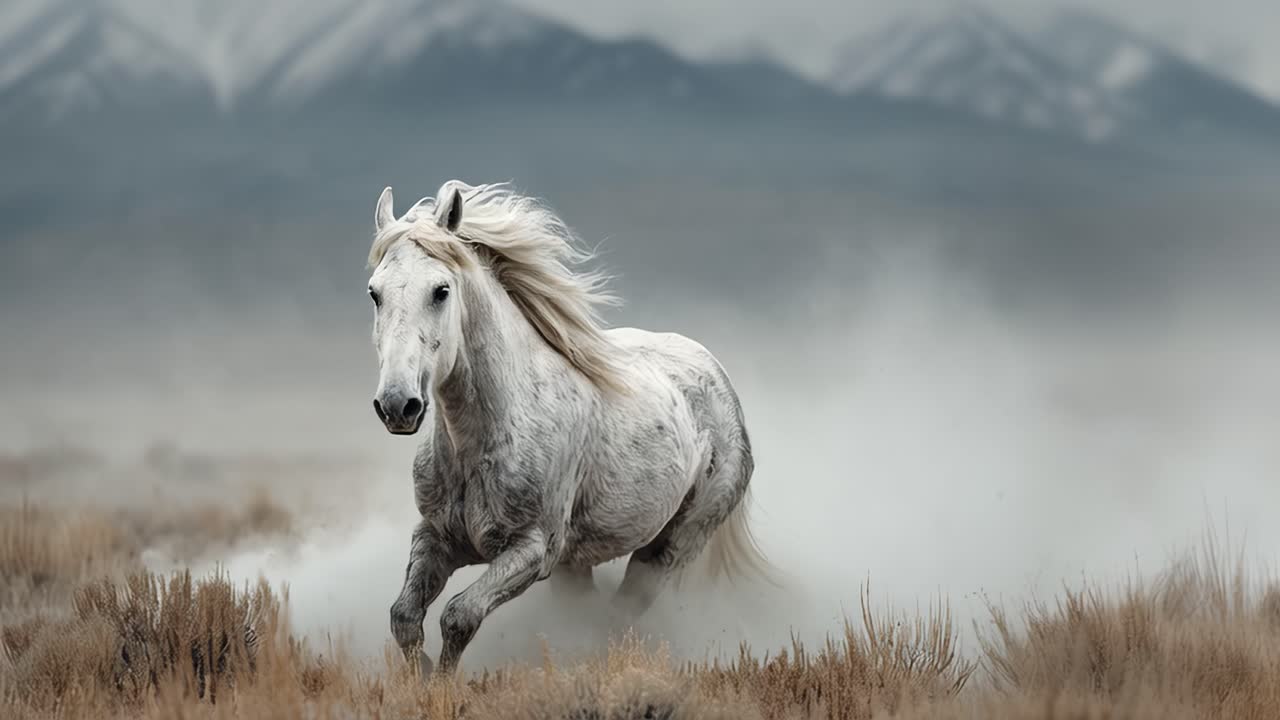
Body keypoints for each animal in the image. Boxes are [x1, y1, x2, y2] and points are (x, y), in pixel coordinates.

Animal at [365, 180, 772, 674]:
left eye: (441, 290)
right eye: (375, 293)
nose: (397, 405)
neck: (482, 440)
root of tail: (718, 378)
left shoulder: (533, 550)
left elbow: (459, 616)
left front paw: (442, 681)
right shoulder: (436, 537)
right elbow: (404, 617)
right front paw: (422, 676)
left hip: (667, 549)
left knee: (619, 612)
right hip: (575, 564)